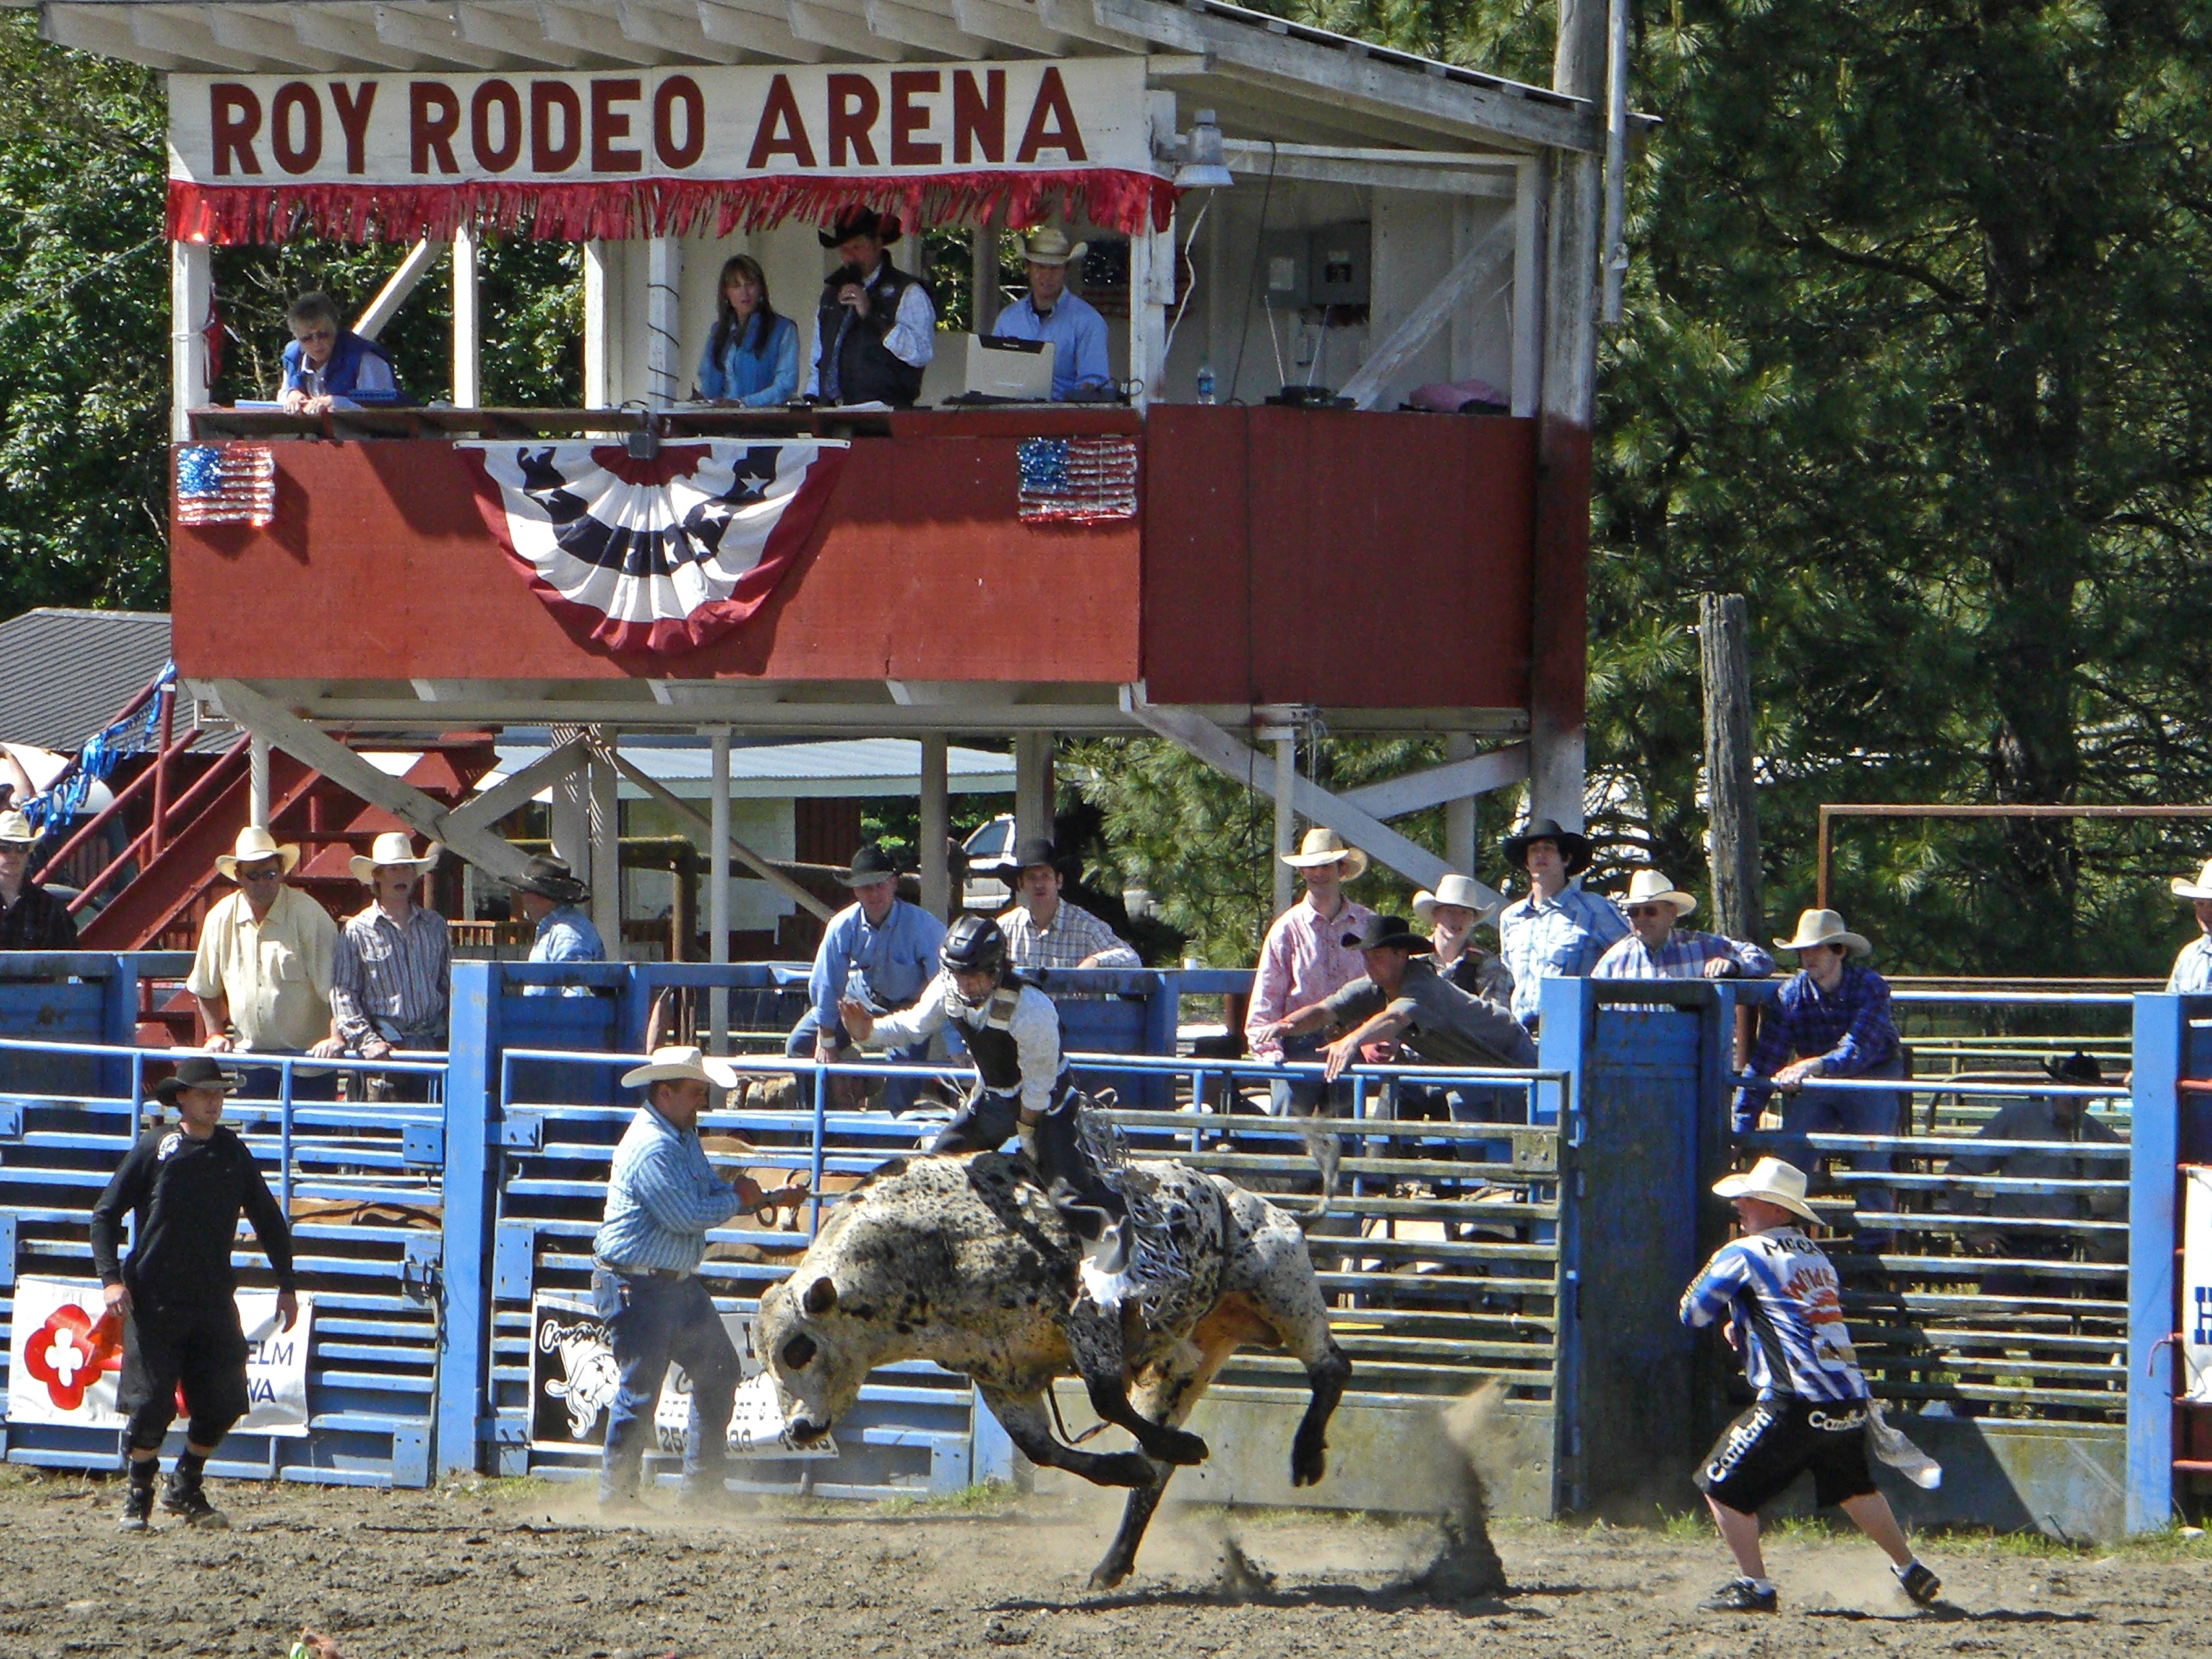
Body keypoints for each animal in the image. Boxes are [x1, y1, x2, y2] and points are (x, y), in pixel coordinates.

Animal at [756, 1141, 1345, 1584]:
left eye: (798, 1348)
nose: (799, 1430)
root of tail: (1258, 1200)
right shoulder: (1001, 1372)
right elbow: (1043, 1449)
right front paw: (1126, 1465)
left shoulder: (1086, 1314)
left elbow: (1105, 1399)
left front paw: (1181, 1446)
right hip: (1189, 1359)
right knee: (1155, 1475)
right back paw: (1114, 1560)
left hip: (1281, 1284)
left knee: (1331, 1367)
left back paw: (1306, 1456)